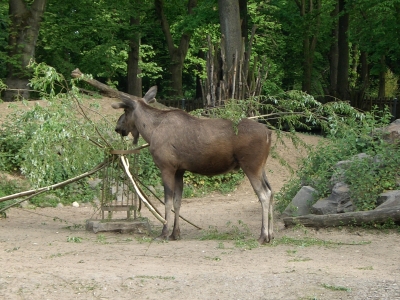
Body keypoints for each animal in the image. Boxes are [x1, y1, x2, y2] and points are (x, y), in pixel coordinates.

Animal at [112, 85, 276, 244]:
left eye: (125, 111)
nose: (117, 127)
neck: (151, 132)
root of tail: (269, 133)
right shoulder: (179, 170)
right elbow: (177, 202)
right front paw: (175, 233)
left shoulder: (167, 168)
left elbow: (167, 202)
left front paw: (164, 233)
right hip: (261, 167)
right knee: (271, 191)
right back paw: (271, 235)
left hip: (251, 166)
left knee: (264, 194)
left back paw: (263, 236)